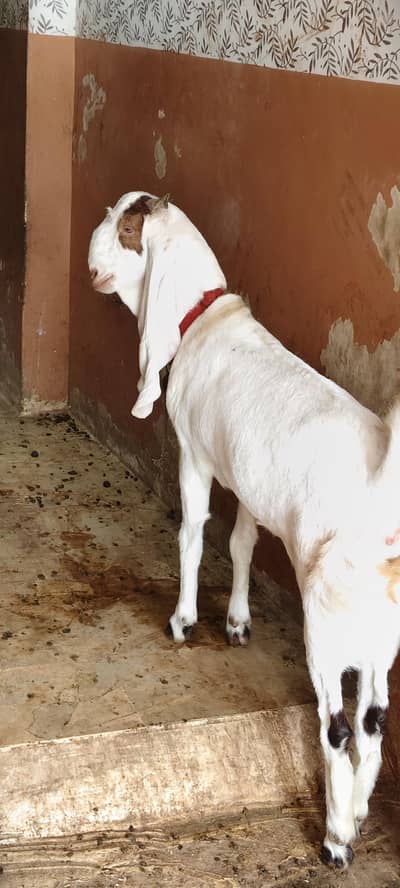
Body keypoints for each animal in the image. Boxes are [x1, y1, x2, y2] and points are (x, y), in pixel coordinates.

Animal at [89, 191, 400, 867]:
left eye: (124, 226)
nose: (88, 259)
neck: (202, 319)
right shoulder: (251, 479)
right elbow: (241, 544)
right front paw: (236, 621)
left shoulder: (197, 454)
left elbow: (194, 533)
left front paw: (184, 620)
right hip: (379, 634)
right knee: (372, 723)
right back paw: (360, 814)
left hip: (327, 626)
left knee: (337, 727)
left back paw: (335, 839)